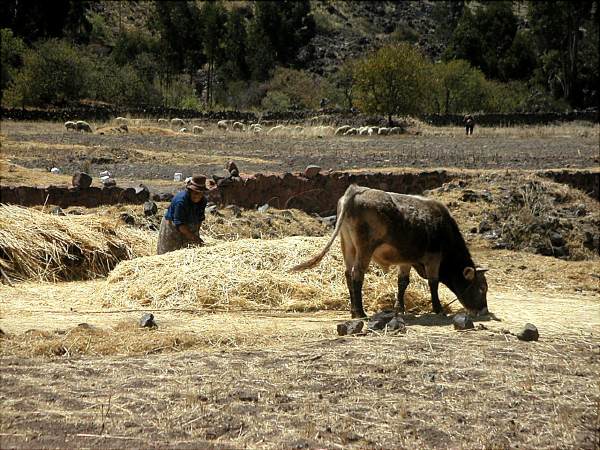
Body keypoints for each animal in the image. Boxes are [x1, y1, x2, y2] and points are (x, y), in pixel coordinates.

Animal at [292, 185, 490, 318]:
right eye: (482, 288)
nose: (484, 311)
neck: (443, 228)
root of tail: (356, 190)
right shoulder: (433, 258)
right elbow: (433, 283)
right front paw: (438, 309)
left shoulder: (406, 260)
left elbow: (402, 282)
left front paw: (400, 308)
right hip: (364, 248)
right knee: (357, 275)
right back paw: (360, 312)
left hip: (347, 245)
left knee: (348, 274)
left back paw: (353, 310)